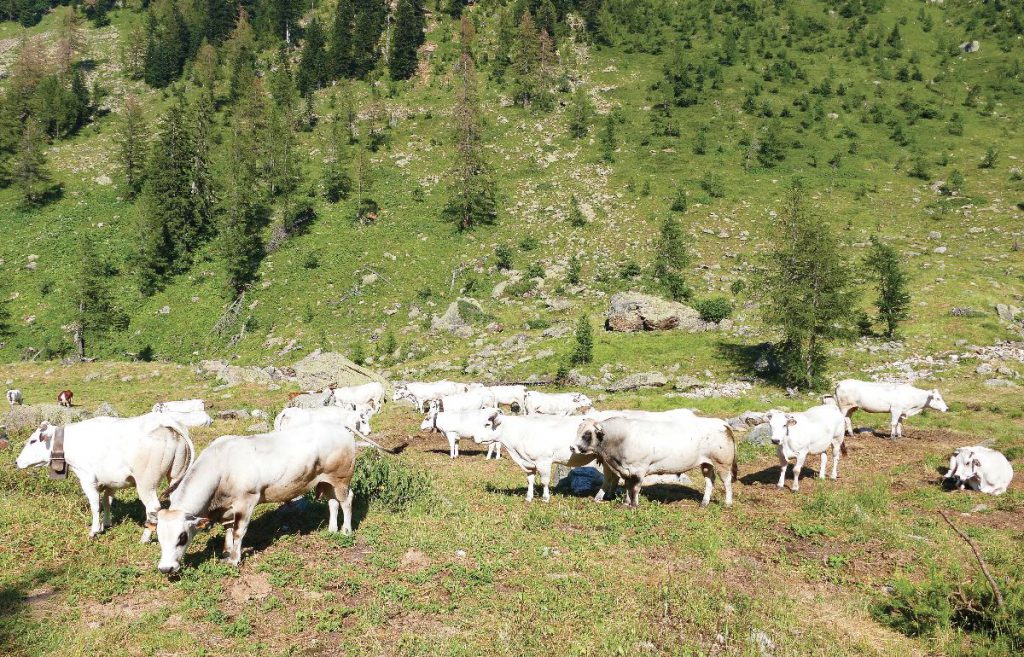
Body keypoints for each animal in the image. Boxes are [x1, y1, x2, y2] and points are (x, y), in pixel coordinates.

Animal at [16, 413, 193, 536]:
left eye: (33, 441)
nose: (17, 461)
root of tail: (167, 425)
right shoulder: (111, 482)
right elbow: (107, 501)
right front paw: (106, 524)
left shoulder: (87, 478)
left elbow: (95, 505)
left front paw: (94, 530)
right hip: (175, 475)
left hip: (146, 482)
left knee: (153, 507)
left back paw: (146, 536)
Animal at [153, 421, 356, 568]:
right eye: (159, 537)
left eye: (182, 537)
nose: (165, 568)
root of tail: (340, 427)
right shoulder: (227, 507)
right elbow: (228, 529)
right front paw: (226, 552)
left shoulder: (247, 500)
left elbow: (238, 531)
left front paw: (234, 559)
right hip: (326, 481)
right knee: (332, 502)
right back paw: (332, 529)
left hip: (341, 478)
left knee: (347, 500)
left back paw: (346, 530)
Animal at [471, 411, 606, 499]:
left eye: (487, 424)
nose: (473, 437)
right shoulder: (528, 463)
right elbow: (530, 480)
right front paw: (529, 497)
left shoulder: (544, 461)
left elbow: (544, 481)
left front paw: (545, 497)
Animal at [569, 413, 737, 507]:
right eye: (578, 431)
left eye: (587, 434)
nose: (572, 447)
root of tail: (722, 423)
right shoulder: (626, 470)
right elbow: (628, 487)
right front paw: (626, 503)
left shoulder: (639, 469)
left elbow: (635, 488)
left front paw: (634, 505)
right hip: (706, 463)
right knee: (709, 481)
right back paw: (704, 502)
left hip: (723, 462)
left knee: (727, 482)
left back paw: (728, 503)